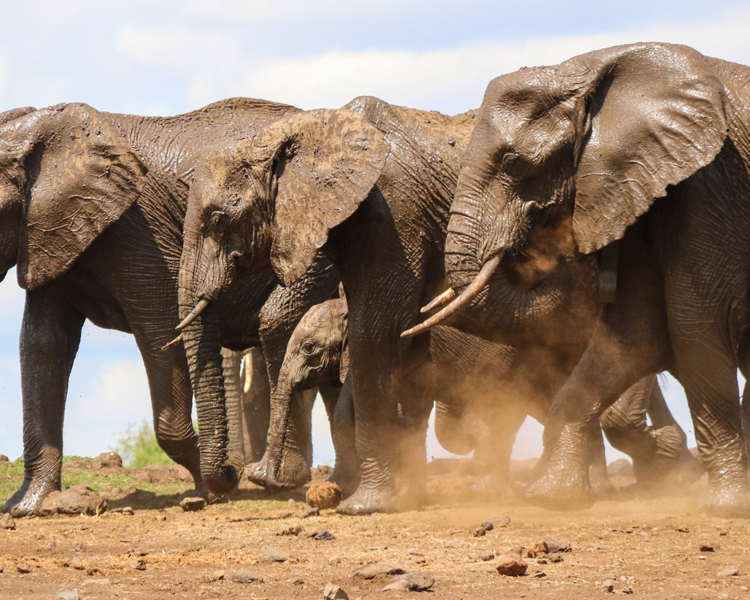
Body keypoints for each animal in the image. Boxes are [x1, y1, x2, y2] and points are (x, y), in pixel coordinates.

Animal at [0, 97, 341, 516]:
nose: (233, 469)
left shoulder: (135, 231)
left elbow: (159, 331)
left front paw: (216, 488)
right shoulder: (48, 232)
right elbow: (42, 345)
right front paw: (28, 505)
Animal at [405, 42, 750, 513]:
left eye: (514, 163)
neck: (590, 69)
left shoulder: (708, 184)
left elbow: (695, 325)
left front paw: (726, 507)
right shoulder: (633, 190)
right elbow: (634, 332)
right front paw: (553, 496)